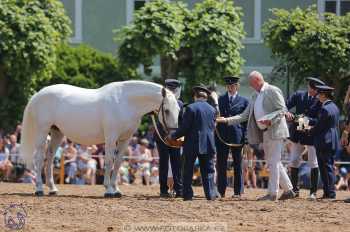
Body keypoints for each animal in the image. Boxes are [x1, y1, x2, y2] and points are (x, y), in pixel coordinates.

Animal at [21, 80, 180, 197]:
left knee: (49, 156)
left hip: (56, 132)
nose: (173, 137)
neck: (125, 102)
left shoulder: (125, 139)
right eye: (166, 110)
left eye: (179, 110)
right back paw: (39, 189)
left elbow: (118, 163)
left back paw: (53, 189)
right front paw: (108, 190)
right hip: (42, 131)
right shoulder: (111, 138)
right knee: (39, 158)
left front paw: (116, 190)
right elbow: (109, 161)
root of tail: (39, 94)